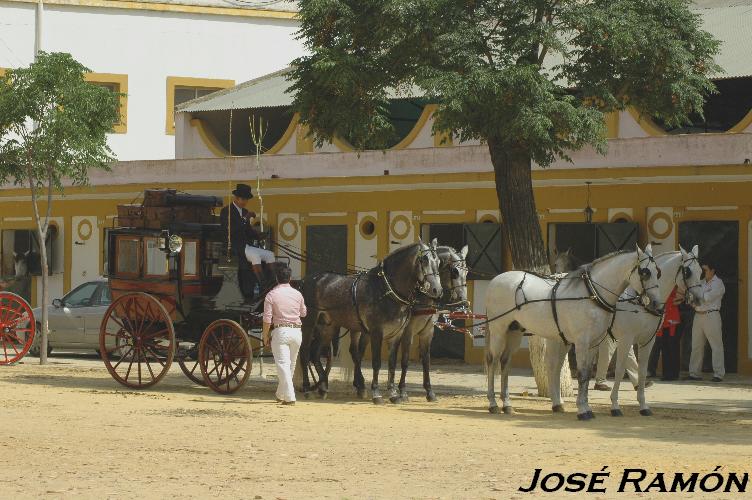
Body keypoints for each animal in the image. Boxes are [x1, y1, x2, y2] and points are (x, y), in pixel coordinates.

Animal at [300, 241, 440, 402]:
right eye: (424, 260)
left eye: (438, 261)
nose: (437, 290)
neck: (386, 290)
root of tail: (307, 280)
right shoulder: (376, 332)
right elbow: (377, 362)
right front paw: (376, 393)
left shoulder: (397, 334)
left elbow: (392, 364)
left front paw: (393, 394)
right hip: (309, 324)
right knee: (304, 352)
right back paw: (307, 388)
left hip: (327, 327)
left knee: (315, 353)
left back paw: (323, 387)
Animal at [390, 244, 468, 404]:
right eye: (455, 272)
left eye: (467, 272)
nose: (463, 301)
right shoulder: (408, 332)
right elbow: (405, 360)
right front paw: (402, 391)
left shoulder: (427, 332)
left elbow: (426, 361)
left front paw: (430, 392)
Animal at [484, 244, 660, 420]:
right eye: (645, 273)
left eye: (657, 271)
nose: (656, 303)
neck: (591, 294)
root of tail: (495, 280)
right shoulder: (581, 342)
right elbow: (582, 374)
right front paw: (582, 410)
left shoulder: (593, 343)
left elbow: (587, 374)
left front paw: (587, 407)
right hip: (498, 331)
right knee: (493, 361)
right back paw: (493, 403)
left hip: (514, 331)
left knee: (505, 361)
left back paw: (507, 404)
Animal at [608, 245, 704, 414]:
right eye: (687, 272)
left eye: (700, 271)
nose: (699, 299)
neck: (640, 302)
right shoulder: (626, 338)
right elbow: (620, 369)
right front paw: (615, 405)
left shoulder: (648, 340)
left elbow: (642, 370)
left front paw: (643, 406)